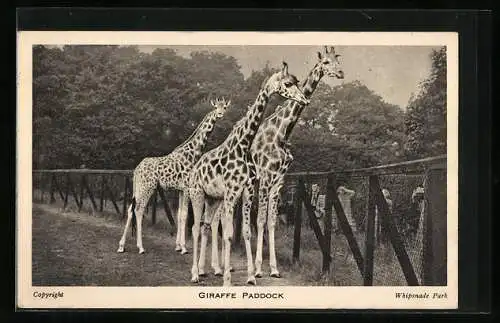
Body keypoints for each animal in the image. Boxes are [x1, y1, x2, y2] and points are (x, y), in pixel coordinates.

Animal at [117, 97, 232, 254]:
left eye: (224, 107)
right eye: (216, 108)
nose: (220, 114)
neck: (194, 151)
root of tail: (137, 169)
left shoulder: (180, 190)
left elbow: (179, 215)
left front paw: (178, 246)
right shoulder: (188, 188)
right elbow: (184, 215)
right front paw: (183, 248)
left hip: (138, 188)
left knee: (130, 209)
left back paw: (121, 246)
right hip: (148, 187)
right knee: (138, 210)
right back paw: (140, 247)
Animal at [187, 62, 308, 288]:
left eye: (297, 82)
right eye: (288, 84)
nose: (304, 99)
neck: (243, 146)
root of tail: (195, 169)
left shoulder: (247, 191)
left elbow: (245, 231)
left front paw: (251, 276)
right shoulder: (231, 192)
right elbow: (228, 234)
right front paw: (227, 280)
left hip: (213, 199)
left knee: (205, 226)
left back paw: (202, 269)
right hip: (197, 194)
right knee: (195, 228)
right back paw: (195, 274)